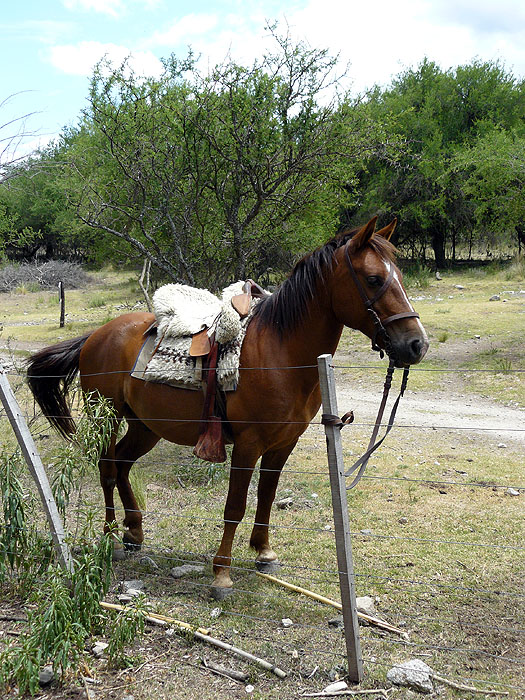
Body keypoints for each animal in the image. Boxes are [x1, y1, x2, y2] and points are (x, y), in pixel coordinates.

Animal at [26, 219, 428, 596]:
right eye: (374, 279)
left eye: (400, 276)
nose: (416, 345)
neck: (280, 352)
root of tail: (96, 335)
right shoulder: (248, 444)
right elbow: (235, 506)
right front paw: (221, 573)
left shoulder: (283, 444)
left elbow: (266, 496)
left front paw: (264, 553)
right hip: (105, 417)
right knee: (107, 467)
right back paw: (111, 534)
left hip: (146, 425)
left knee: (123, 464)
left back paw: (134, 533)